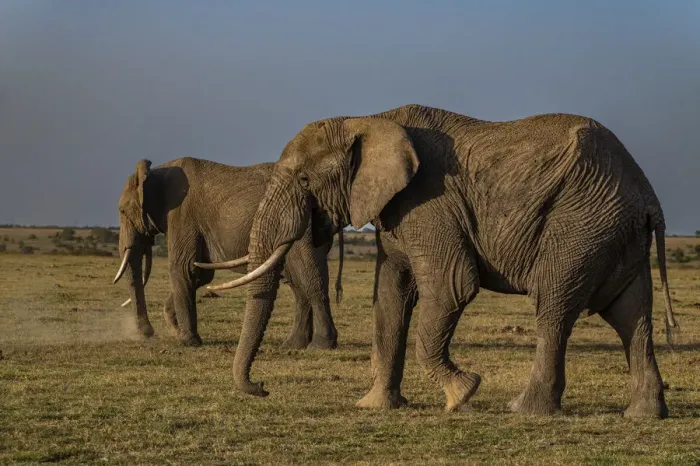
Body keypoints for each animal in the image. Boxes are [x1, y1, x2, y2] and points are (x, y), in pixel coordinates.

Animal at [113, 157, 343, 349]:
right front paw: (175, 328)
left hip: (300, 226)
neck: (156, 171)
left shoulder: (181, 215)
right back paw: (293, 344)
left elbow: (184, 268)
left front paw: (188, 342)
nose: (147, 334)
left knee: (310, 276)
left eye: (123, 211)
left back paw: (322, 344)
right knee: (298, 282)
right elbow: (200, 273)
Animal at [200, 104, 678, 419]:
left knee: (554, 305)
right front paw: (375, 406)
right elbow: (389, 296)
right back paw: (643, 415)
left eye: (303, 180)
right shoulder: (396, 210)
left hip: (581, 224)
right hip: (612, 230)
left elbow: (452, 287)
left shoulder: (431, 201)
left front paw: (461, 394)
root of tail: (647, 194)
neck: (368, 118)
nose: (262, 388)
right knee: (631, 315)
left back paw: (524, 410)